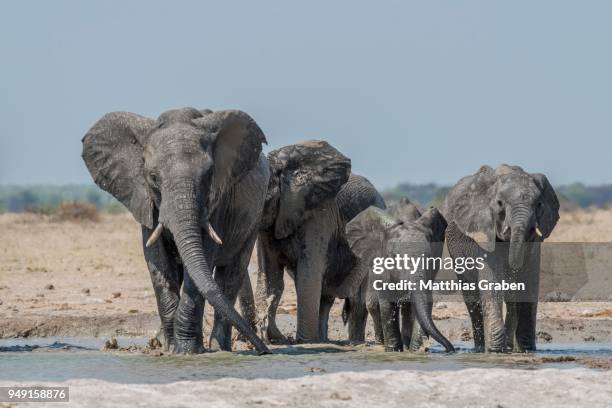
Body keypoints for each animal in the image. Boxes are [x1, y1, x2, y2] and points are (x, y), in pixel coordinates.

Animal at [81, 107, 270, 354]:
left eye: (208, 175)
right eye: (152, 177)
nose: (264, 350)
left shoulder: (217, 200)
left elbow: (203, 259)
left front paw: (187, 351)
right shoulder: (146, 200)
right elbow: (157, 260)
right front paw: (171, 350)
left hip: (254, 217)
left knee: (231, 273)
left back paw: (219, 349)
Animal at [253, 142, 378, 342]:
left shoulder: (318, 216)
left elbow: (308, 276)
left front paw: (304, 342)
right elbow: (271, 276)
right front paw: (280, 340)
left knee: (358, 301)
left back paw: (354, 342)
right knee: (326, 297)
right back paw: (323, 339)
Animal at [344, 206, 454, 352]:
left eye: (429, 257)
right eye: (394, 256)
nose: (450, 349)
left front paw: (414, 351)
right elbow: (387, 302)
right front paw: (394, 351)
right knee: (373, 305)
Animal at [440, 164, 560, 352]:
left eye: (539, 204)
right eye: (500, 203)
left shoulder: (534, 241)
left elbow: (529, 281)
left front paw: (526, 350)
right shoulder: (485, 231)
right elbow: (492, 283)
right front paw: (495, 350)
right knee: (472, 297)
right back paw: (481, 349)